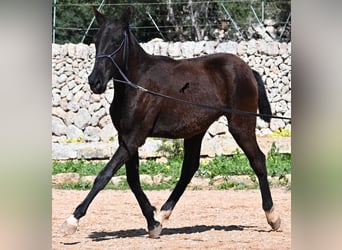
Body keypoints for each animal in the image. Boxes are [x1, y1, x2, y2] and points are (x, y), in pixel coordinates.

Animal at [61, 7, 280, 238]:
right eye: (96, 40)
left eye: (117, 40)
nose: (95, 82)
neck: (137, 85)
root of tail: (248, 70)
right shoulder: (126, 139)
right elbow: (132, 179)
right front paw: (153, 221)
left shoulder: (134, 138)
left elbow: (105, 175)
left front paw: (72, 220)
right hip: (196, 131)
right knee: (189, 168)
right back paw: (164, 213)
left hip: (240, 125)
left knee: (258, 160)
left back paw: (272, 216)